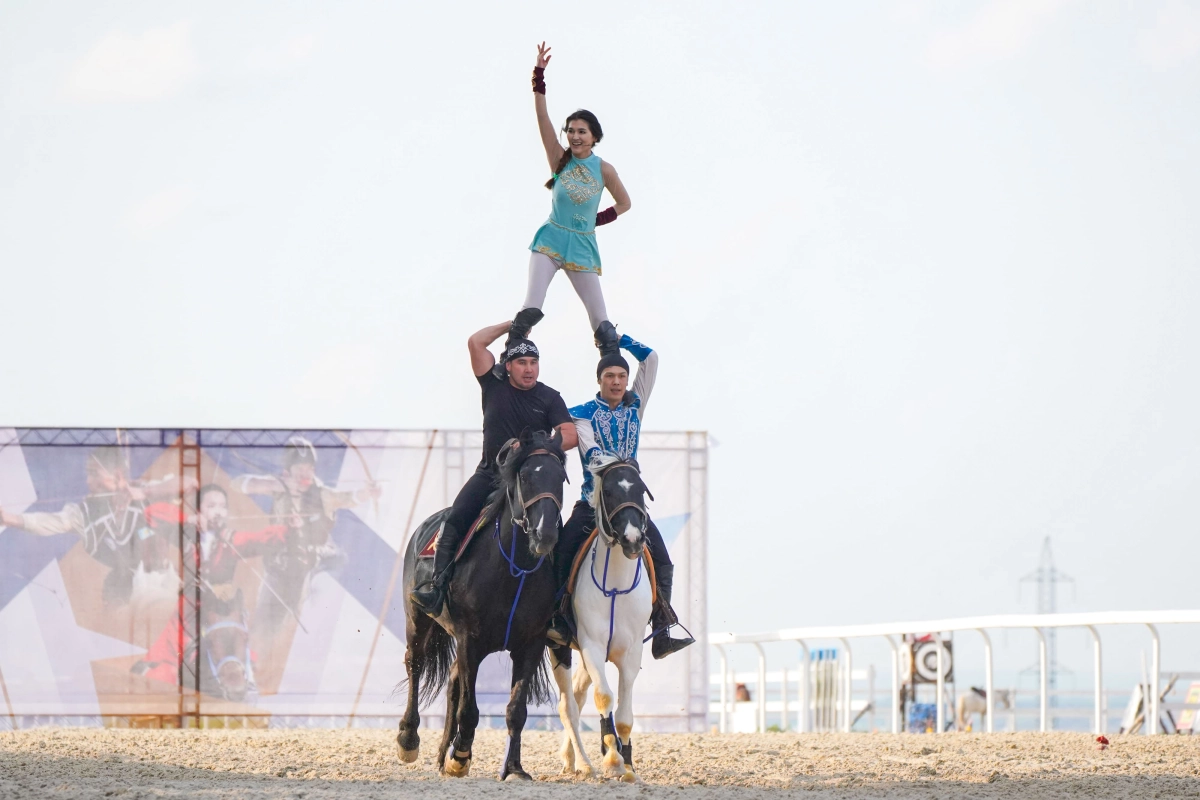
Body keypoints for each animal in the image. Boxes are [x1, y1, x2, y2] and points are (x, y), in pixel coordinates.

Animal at [393, 431, 561, 782]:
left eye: (562, 478)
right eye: (526, 477)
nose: (545, 534)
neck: (513, 568)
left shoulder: (531, 643)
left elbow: (516, 710)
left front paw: (514, 769)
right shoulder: (470, 638)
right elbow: (469, 709)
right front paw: (461, 756)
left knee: (453, 680)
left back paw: (442, 754)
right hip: (417, 619)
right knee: (415, 663)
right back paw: (409, 739)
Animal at [552, 455, 657, 782]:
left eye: (641, 490)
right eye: (608, 492)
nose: (633, 539)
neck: (615, 586)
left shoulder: (631, 652)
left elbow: (623, 717)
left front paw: (628, 767)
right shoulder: (592, 647)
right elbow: (604, 698)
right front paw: (611, 758)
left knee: (576, 695)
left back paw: (571, 759)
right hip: (559, 648)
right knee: (568, 706)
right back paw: (584, 764)